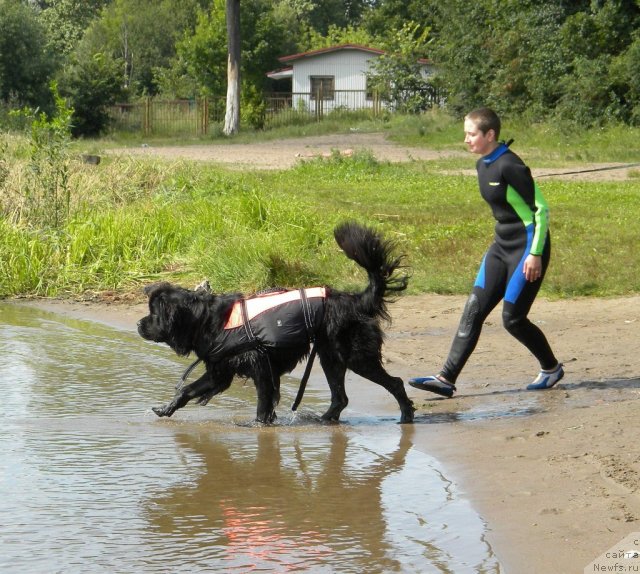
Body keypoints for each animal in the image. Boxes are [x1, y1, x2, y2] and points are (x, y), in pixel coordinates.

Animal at [137, 223, 416, 426]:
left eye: (153, 313)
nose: (139, 324)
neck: (207, 321)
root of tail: (357, 300)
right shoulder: (220, 371)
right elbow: (187, 390)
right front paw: (166, 408)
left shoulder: (260, 365)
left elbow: (263, 401)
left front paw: (259, 425)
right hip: (330, 356)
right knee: (340, 397)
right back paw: (324, 420)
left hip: (355, 356)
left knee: (394, 383)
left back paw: (405, 416)